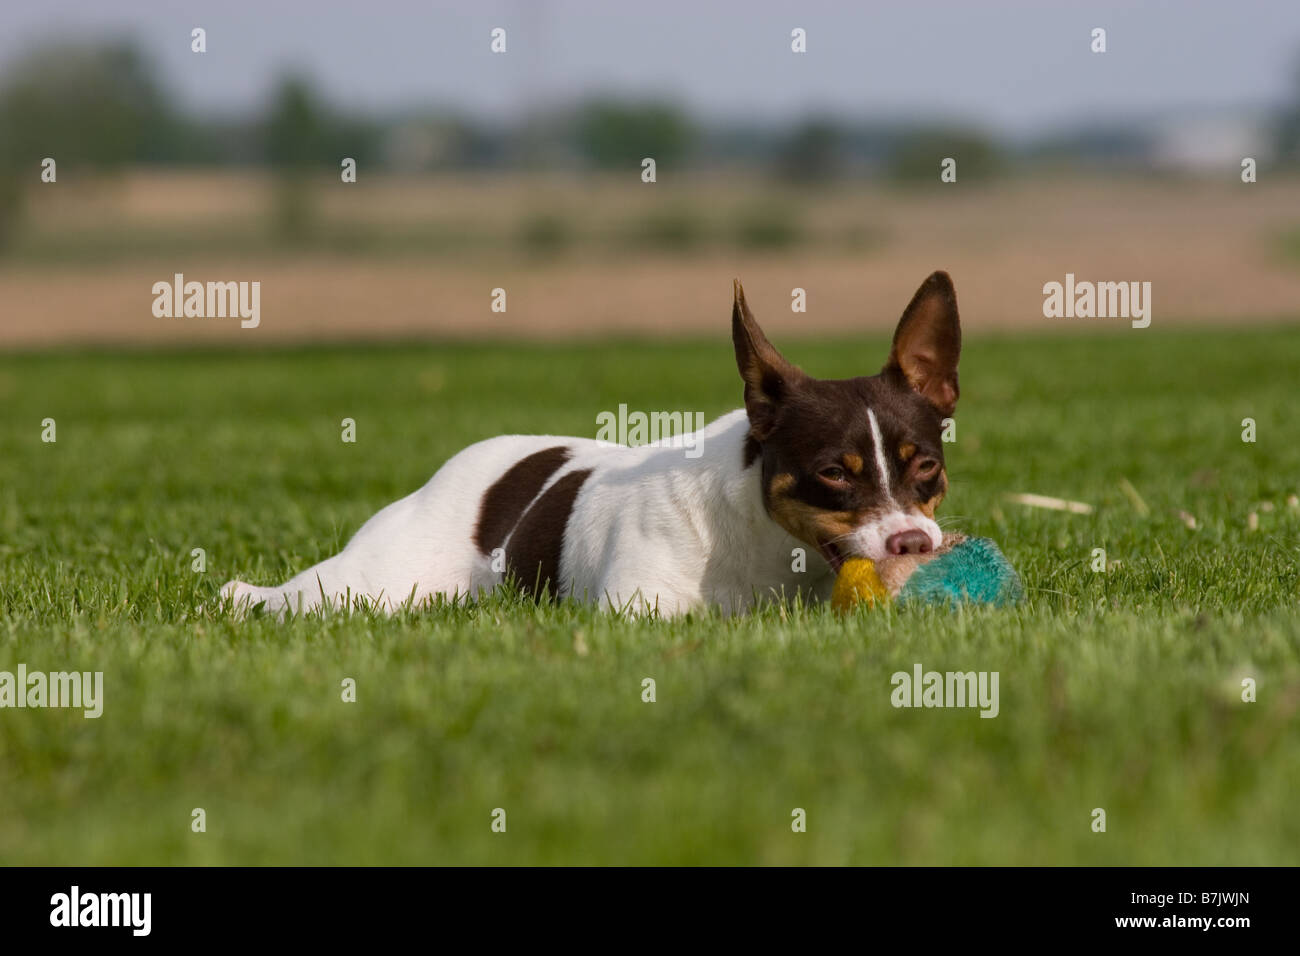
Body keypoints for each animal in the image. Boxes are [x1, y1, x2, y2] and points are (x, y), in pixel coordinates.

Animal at [218, 269, 961, 616]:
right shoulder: (637, 608)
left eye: (926, 465)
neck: (770, 543)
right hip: (368, 583)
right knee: (284, 595)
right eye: (834, 473)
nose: (914, 544)